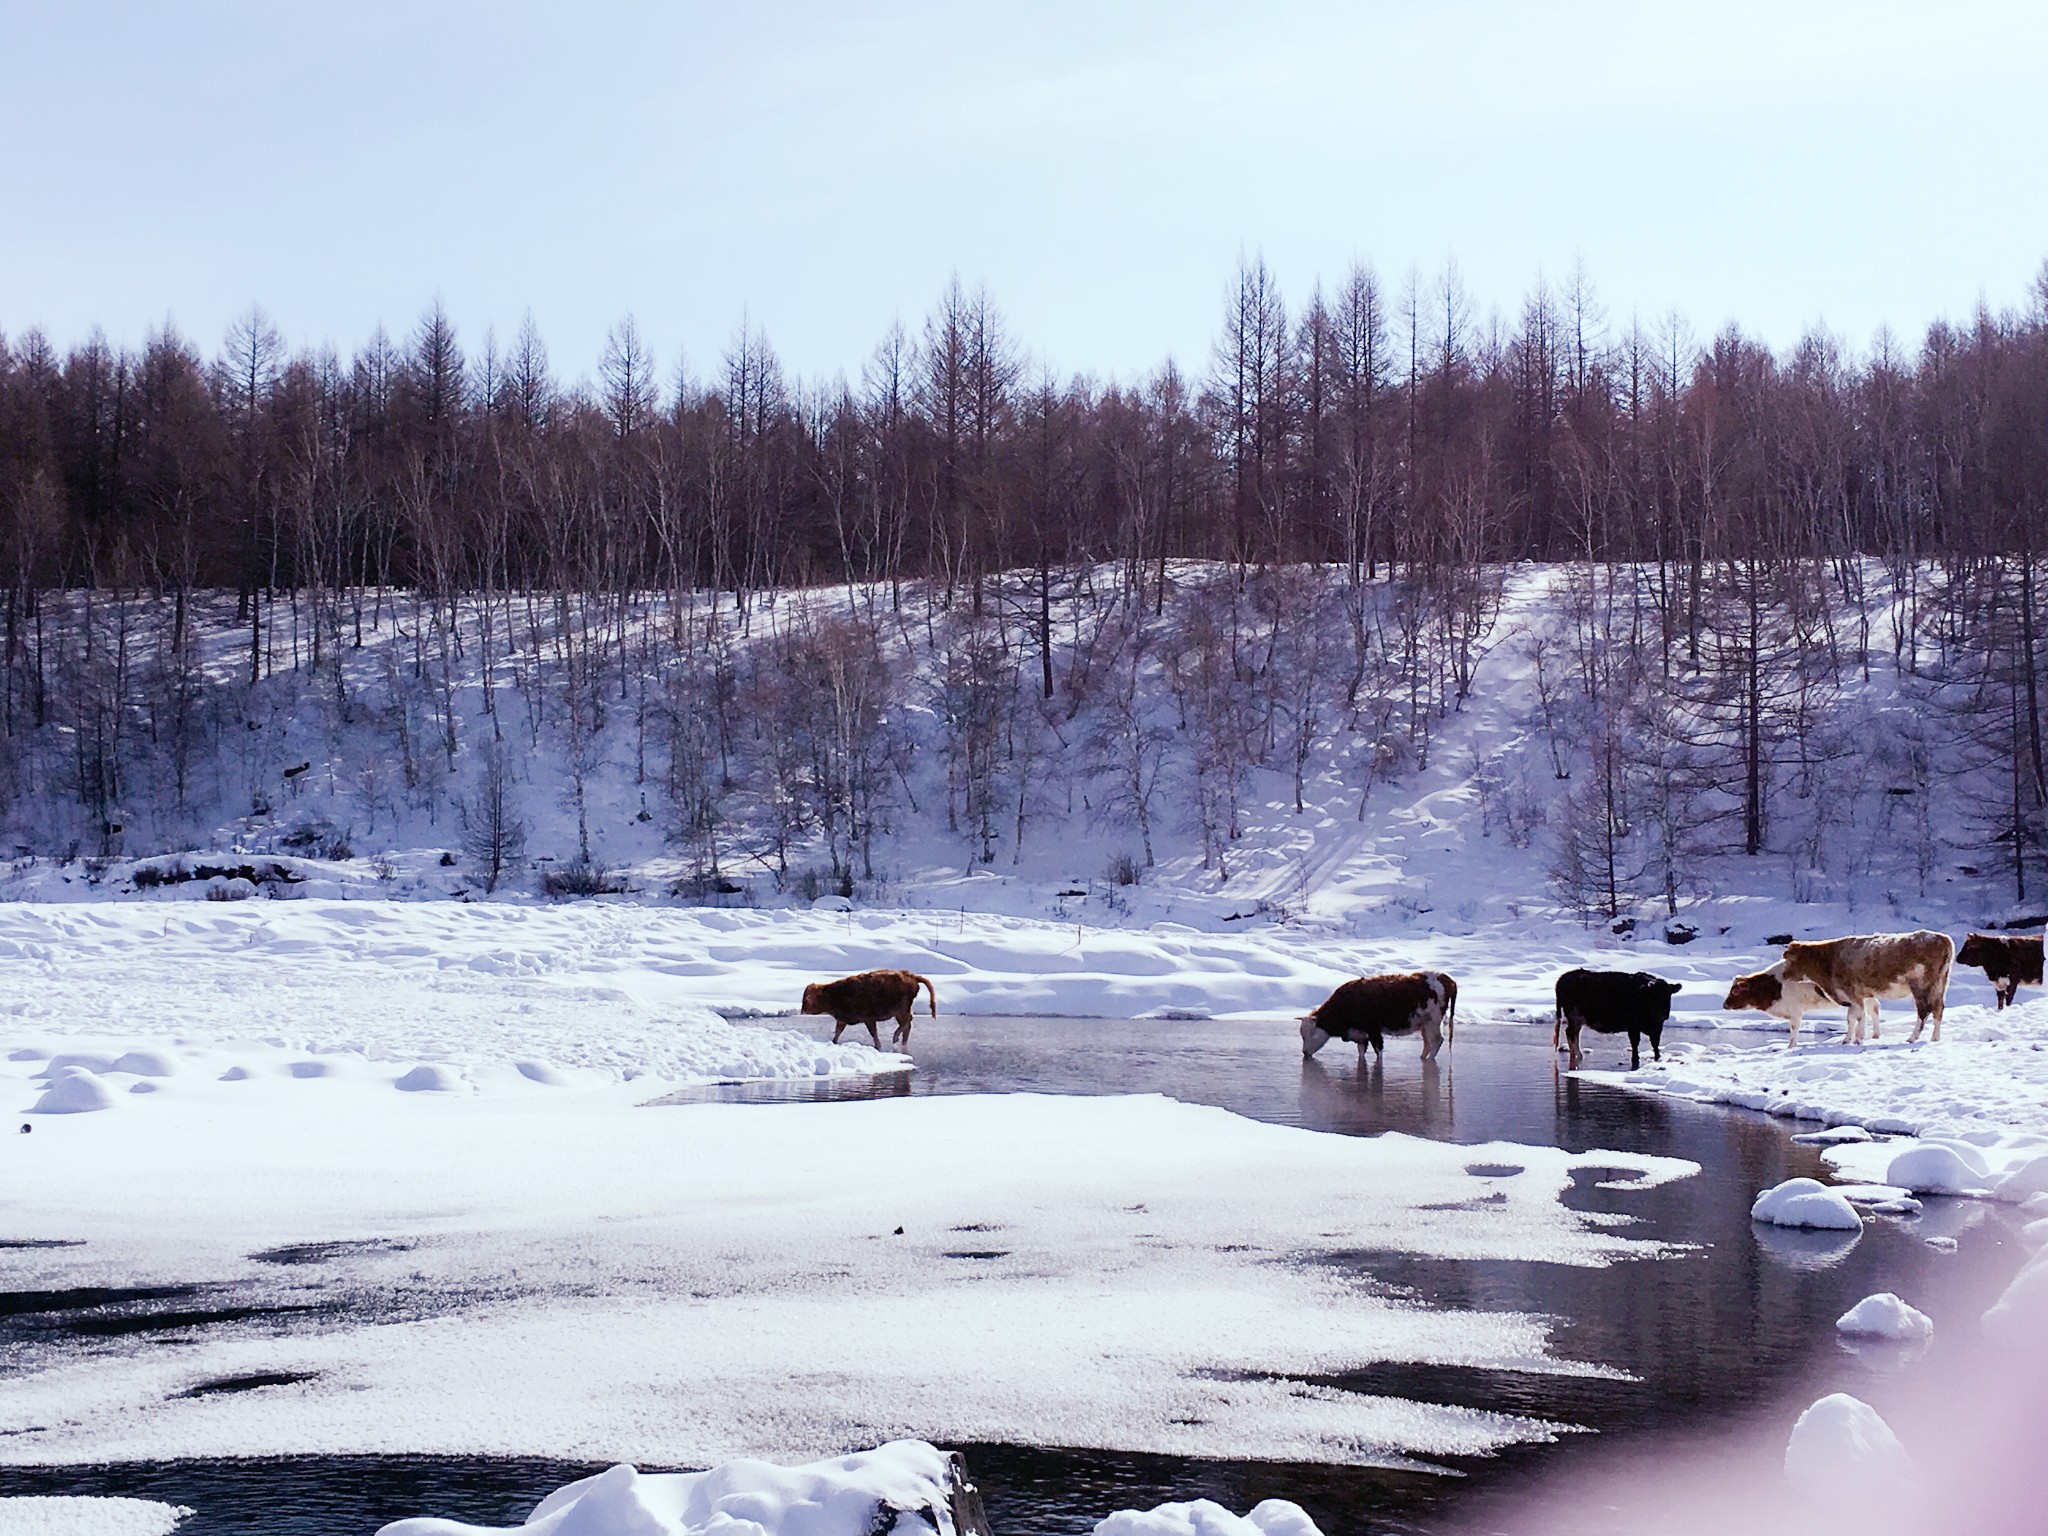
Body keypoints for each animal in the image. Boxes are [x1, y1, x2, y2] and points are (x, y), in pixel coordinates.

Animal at [798, 966, 937, 1056]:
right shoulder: (842, 1019)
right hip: (900, 1011)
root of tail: (912, 976)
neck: (834, 994)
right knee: (907, 1025)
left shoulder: (868, 1018)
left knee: (907, 1022)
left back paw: (895, 1037)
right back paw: (902, 1042)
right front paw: (833, 1042)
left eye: (806, 998)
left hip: (902, 1009)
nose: (803, 1009)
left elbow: (873, 1032)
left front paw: (878, 1045)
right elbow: (838, 1031)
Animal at [1294, 978, 1458, 1064]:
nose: (1304, 1052)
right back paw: (1423, 1058)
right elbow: (1361, 1052)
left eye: (1311, 1034)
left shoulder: (1374, 1031)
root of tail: (1445, 978)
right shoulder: (1360, 1035)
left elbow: (1378, 1051)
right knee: (1427, 1043)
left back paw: (1429, 1060)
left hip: (1433, 1022)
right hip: (1424, 1025)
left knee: (1437, 1040)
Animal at [1548, 974, 1679, 1073]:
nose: (1663, 1014)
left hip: (1578, 1019)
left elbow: (1655, 1044)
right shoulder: (1633, 1027)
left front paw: (1658, 1059)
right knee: (1571, 1033)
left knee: (1573, 1034)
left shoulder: (1657, 1027)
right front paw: (1635, 1062)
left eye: (1669, 995)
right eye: (1654, 995)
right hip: (1575, 1016)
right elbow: (1635, 1044)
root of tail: (1563, 978)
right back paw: (1577, 1056)